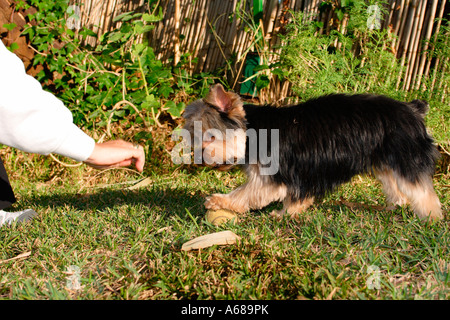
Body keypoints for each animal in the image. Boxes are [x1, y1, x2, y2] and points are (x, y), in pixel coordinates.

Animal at [182, 84, 442, 221]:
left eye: (210, 137)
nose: (199, 159)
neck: (253, 131)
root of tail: (413, 110)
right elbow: (297, 196)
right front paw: (291, 211)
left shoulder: (272, 176)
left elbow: (246, 193)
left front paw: (219, 200)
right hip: (386, 161)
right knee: (395, 185)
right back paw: (394, 206)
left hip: (407, 157)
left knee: (421, 190)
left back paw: (431, 218)